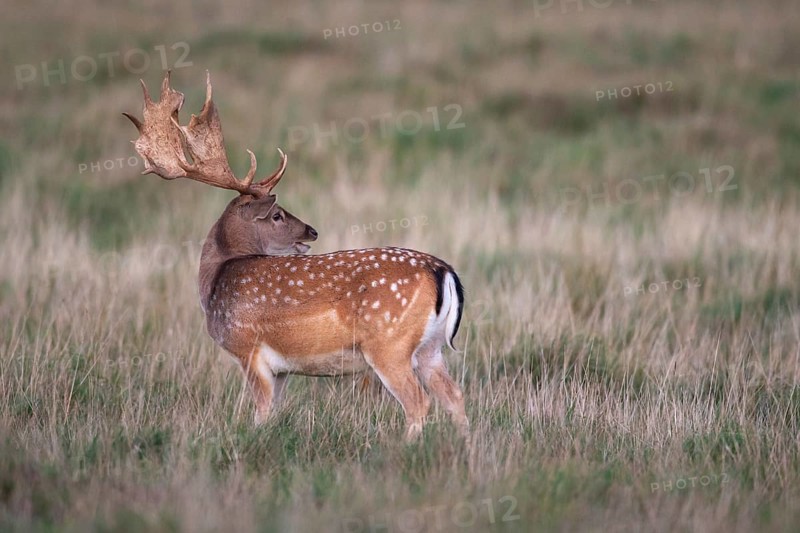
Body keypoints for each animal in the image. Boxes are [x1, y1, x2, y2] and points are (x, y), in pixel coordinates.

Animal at [123, 71, 468, 441]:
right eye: (277, 215)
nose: (311, 231)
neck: (215, 284)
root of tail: (443, 271)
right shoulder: (283, 369)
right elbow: (273, 411)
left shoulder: (249, 348)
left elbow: (260, 413)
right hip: (430, 348)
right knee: (454, 396)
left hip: (388, 343)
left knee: (419, 401)